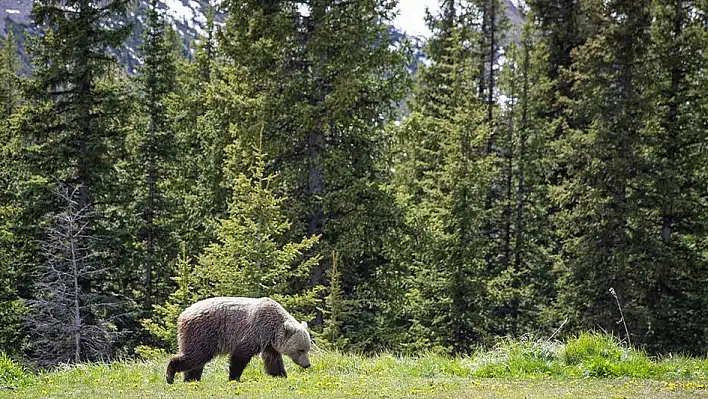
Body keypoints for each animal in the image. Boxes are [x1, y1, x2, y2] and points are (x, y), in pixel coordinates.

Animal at [166, 296, 312, 384]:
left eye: (307, 349)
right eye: (300, 350)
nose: (307, 364)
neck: (273, 329)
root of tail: (183, 314)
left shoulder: (269, 342)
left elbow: (272, 359)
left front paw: (281, 375)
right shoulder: (255, 330)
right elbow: (240, 355)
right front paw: (234, 378)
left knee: (196, 360)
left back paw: (191, 379)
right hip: (203, 333)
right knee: (196, 356)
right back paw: (171, 375)